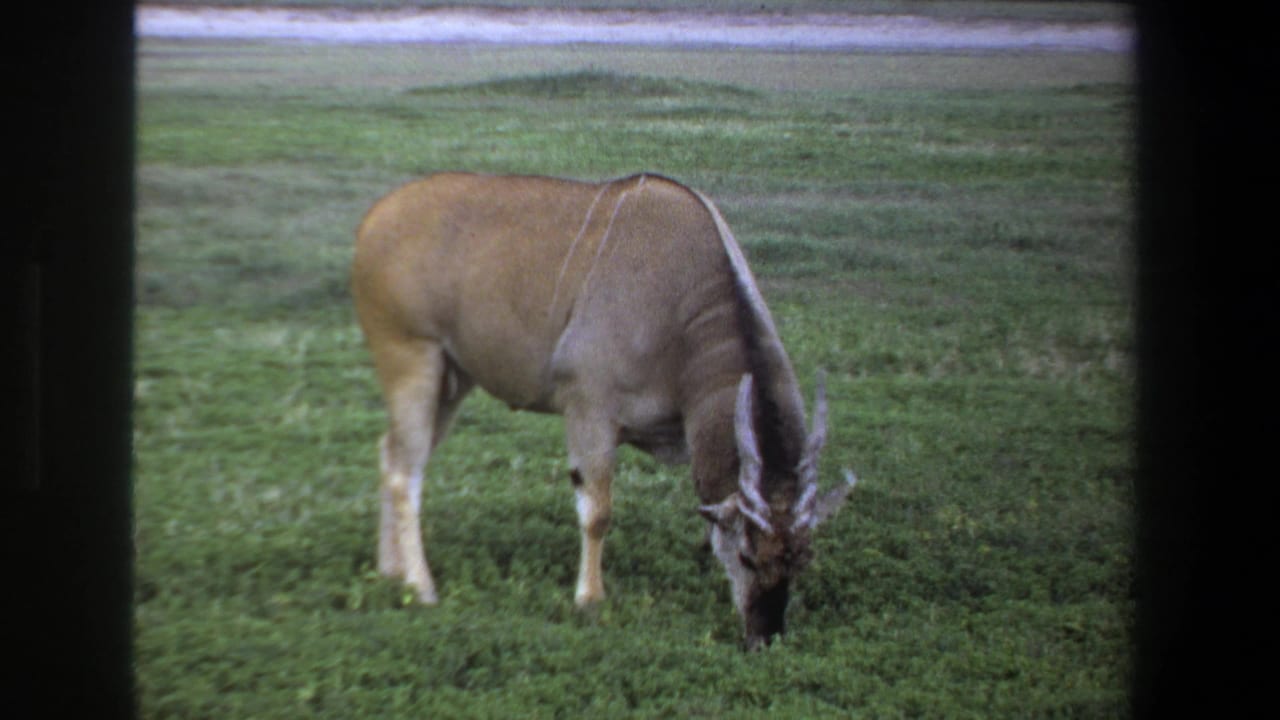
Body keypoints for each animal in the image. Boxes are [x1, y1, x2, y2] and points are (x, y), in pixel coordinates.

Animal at [351, 172, 855, 649]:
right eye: (748, 555)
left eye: (803, 558)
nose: (765, 637)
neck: (684, 306)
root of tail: (374, 219)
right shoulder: (588, 408)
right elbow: (597, 513)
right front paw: (589, 601)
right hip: (411, 357)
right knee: (405, 473)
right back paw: (422, 588)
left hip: (452, 379)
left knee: (389, 453)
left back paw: (390, 572)